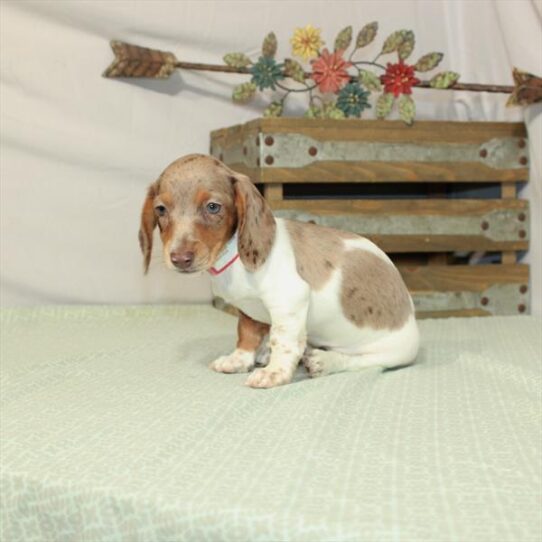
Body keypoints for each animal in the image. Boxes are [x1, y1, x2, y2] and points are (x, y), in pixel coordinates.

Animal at [140, 155, 420, 388]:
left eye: (212, 207)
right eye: (161, 209)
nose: (180, 259)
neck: (233, 258)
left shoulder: (289, 301)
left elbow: (282, 341)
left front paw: (275, 372)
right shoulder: (248, 311)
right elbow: (246, 335)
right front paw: (240, 359)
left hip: (393, 352)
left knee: (359, 361)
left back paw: (323, 361)